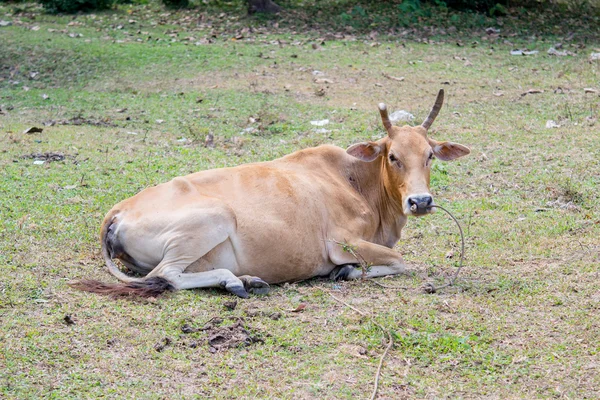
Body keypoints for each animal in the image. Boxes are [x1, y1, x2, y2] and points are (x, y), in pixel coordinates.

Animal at [71, 90, 468, 296]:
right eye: (393, 156)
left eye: (430, 155)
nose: (420, 201)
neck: (354, 180)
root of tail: (118, 211)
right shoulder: (341, 243)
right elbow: (400, 261)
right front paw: (346, 272)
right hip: (213, 219)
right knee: (168, 275)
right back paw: (234, 281)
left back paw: (247, 279)